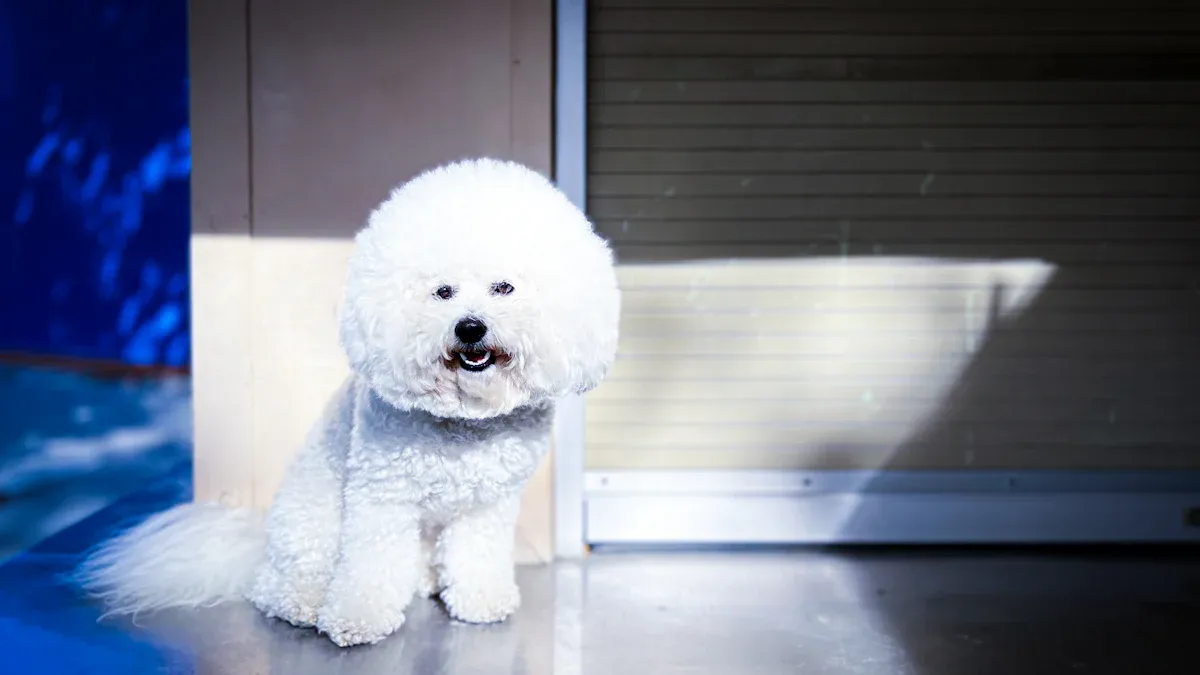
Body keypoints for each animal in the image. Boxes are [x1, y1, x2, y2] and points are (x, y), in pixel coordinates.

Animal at [77, 157, 619, 648]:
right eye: (442, 291)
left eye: (503, 287)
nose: (470, 327)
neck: (464, 421)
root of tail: (260, 546)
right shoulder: (383, 497)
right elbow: (370, 565)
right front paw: (357, 619)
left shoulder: (487, 506)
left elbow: (476, 554)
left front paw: (481, 601)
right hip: (311, 525)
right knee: (280, 585)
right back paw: (304, 603)